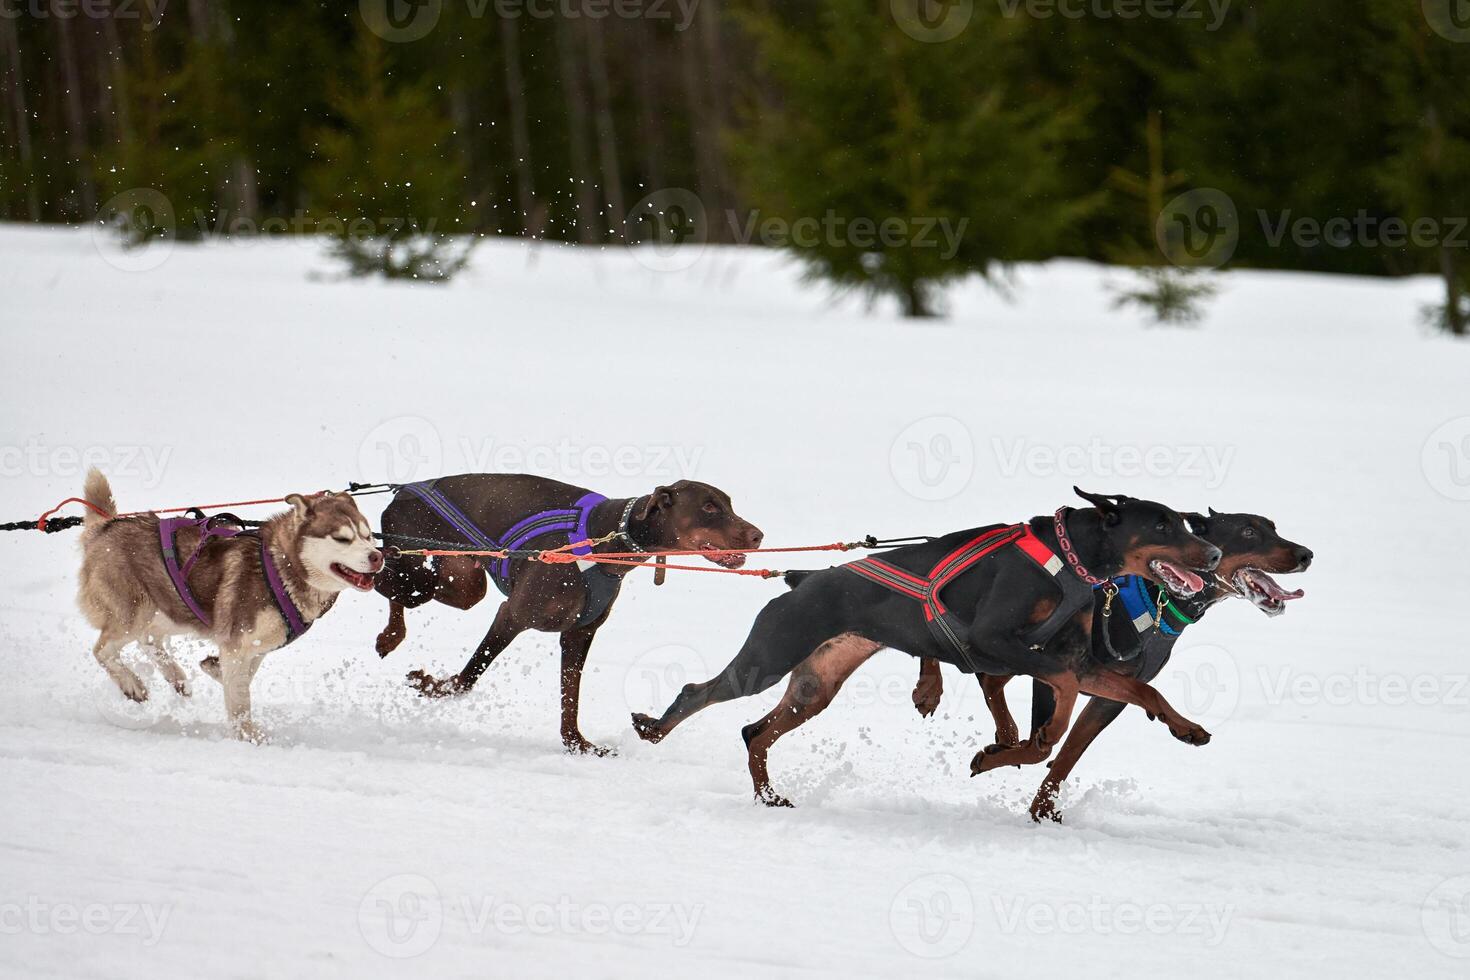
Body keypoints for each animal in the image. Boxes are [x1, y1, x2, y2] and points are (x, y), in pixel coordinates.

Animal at [77, 470, 382, 740]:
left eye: (368, 535)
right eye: (342, 538)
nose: (377, 556)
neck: (280, 569)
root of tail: (106, 526)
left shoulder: (254, 647)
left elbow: (241, 680)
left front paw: (215, 670)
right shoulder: (236, 645)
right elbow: (239, 701)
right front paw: (249, 737)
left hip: (170, 609)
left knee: (148, 640)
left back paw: (176, 677)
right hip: (132, 614)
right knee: (104, 650)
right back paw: (132, 684)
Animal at [373, 476, 764, 758]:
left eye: (728, 504)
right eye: (709, 506)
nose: (758, 535)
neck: (605, 538)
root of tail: (402, 491)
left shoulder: (579, 634)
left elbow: (570, 698)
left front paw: (577, 743)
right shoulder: (512, 615)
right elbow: (470, 676)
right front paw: (435, 685)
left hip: (463, 578)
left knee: (426, 588)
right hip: (413, 560)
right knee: (389, 580)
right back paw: (387, 631)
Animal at [629, 487, 1217, 805]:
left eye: (1186, 523)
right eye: (1162, 524)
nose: (1212, 555)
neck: (1071, 560)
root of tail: (802, 578)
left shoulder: (1073, 658)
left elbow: (1138, 689)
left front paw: (1186, 726)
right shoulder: (993, 642)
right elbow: (1061, 694)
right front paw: (1019, 744)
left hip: (816, 684)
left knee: (755, 731)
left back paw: (770, 796)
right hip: (770, 655)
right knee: (698, 691)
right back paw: (654, 729)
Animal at [911, 511, 1317, 822]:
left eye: (1273, 527)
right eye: (1248, 531)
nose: (1306, 554)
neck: (1154, 596)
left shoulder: (1106, 692)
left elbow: (1071, 752)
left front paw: (1042, 809)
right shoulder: (1056, 672)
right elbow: (1043, 747)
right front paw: (1000, 759)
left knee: (988, 680)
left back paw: (1002, 733)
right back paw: (930, 687)